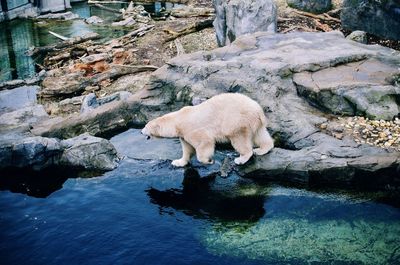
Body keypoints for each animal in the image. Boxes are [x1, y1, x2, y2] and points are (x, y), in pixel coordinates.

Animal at [141, 93, 276, 166]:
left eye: (145, 126)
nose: (141, 131)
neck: (179, 119)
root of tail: (258, 109)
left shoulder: (192, 130)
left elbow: (204, 142)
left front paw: (208, 160)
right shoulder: (183, 135)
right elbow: (187, 148)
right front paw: (178, 162)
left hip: (237, 120)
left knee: (239, 138)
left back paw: (241, 158)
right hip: (254, 121)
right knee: (260, 134)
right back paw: (261, 150)